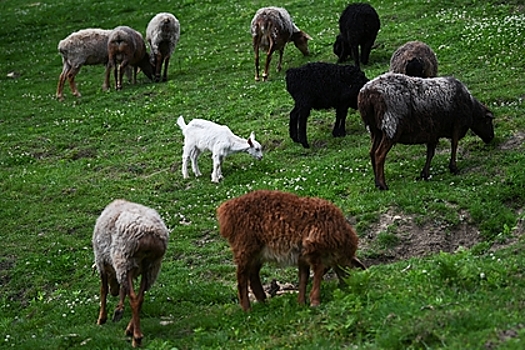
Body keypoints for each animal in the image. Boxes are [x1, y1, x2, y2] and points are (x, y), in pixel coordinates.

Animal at [92, 200, 170, 348]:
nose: (114, 292)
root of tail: (150, 234)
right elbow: (123, 290)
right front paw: (118, 310)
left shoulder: (101, 261)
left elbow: (103, 291)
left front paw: (101, 319)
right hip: (150, 267)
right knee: (140, 298)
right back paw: (130, 330)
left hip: (125, 261)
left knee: (134, 298)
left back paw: (136, 337)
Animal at [216, 190, 364, 310]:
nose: (348, 286)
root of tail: (225, 211)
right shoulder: (313, 249)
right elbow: (318, 272)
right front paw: (314, 302)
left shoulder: (303, 255)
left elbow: (304, 277)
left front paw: (301, 303)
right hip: (245, 246)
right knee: (241, 277)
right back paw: (247, 309)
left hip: (258, 252)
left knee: (253, 274)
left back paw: (263, 302)